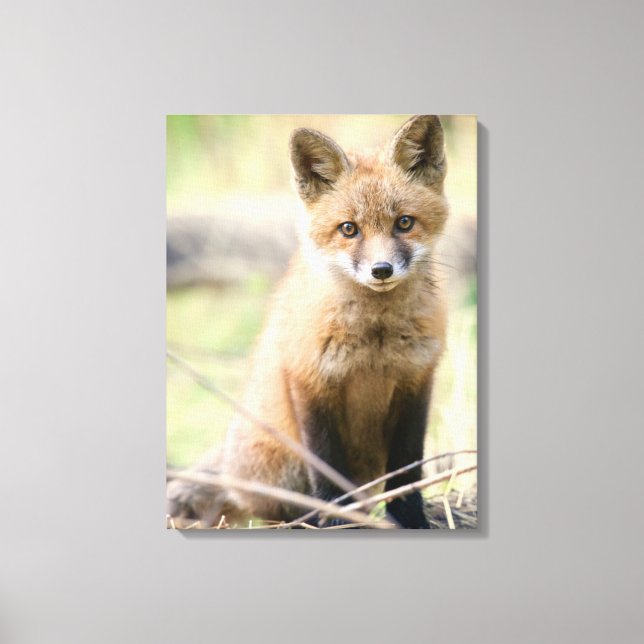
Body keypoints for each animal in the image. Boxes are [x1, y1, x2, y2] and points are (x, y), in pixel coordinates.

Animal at [167, 115, 449, 528]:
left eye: (404, 223)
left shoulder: (417, 381)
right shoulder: (310, 380)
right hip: (279, 464)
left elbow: (408, 468)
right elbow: (327, 468)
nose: (381, 270)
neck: (375, 342)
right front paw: (335, 519)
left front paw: (410, 518)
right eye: (349, 229)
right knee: (273, 509)